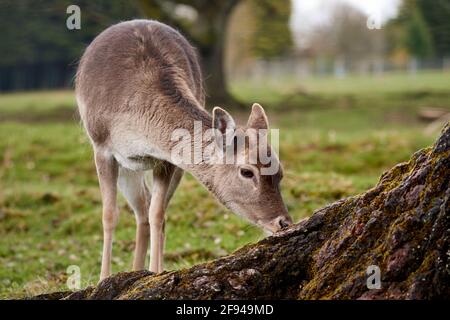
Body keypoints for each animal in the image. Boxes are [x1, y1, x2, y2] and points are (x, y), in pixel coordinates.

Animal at [74, 20, 292, 280]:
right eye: (247, 172)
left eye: (280, 172)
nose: (284, 222)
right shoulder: (102, 147)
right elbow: (109, 215)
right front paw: (103, 279)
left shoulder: (167, 158)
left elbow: (157, 214)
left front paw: (155, 274)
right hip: (126, 165)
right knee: (140, 207)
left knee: (146, 209)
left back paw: (139, 270)